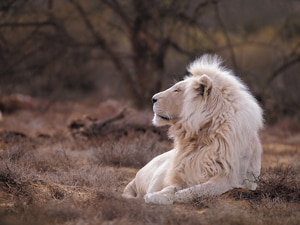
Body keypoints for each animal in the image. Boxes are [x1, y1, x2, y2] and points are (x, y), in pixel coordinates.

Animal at [122, 54, 262, 204]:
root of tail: (138, 174)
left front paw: (178, 195)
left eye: (177, 90)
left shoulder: (229, 178)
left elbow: (201, 189)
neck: (201, 136)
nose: (152, 98)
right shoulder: (181, 171)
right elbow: (172, 187)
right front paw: (160, 196)